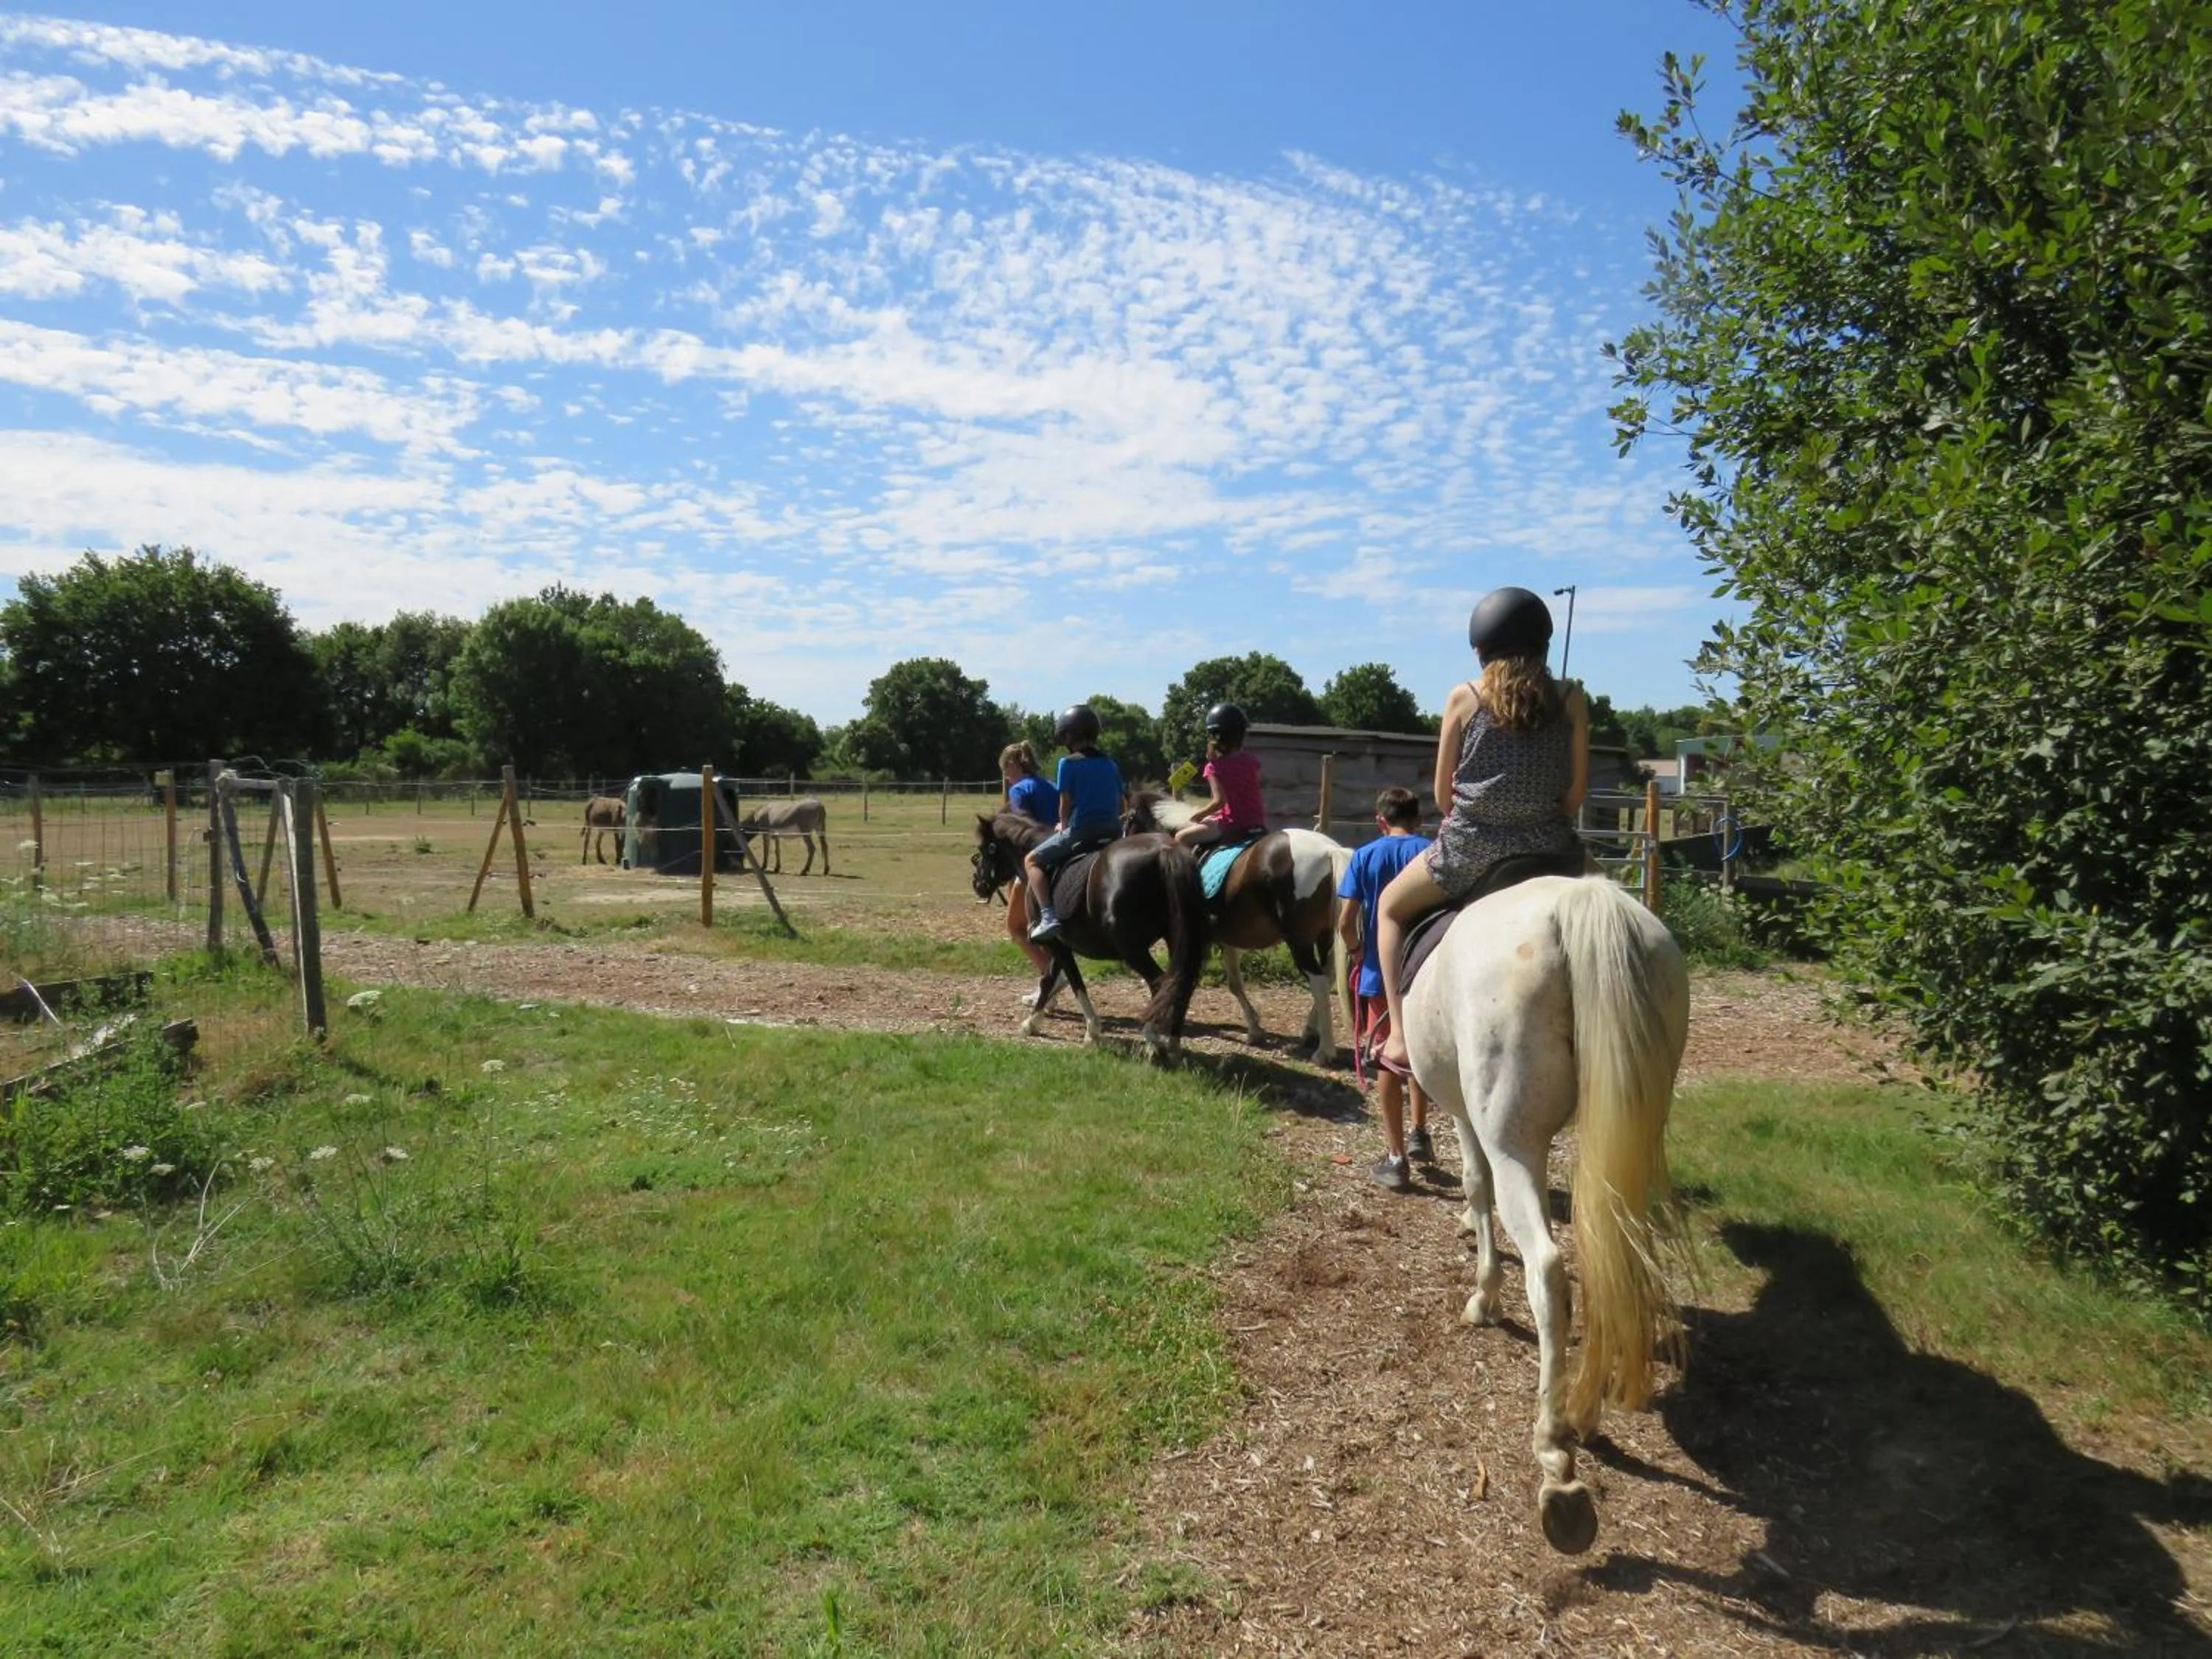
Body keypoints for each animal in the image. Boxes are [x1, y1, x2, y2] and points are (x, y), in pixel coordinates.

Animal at [969, 813, 1208, 1060]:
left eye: (985, 848)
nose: (977, 883)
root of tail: (1165, 851)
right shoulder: (1060, 943)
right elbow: (1049, 978)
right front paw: (1033, 1022)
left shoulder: (1056, 943)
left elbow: (1075, 982)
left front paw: (1092, 1031)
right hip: (1177, 940)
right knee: (1181, 985)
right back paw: (1173, 1042)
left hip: (1131, 948)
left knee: (1160, 984)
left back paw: (1154, 1040)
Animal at [1123, 791, 1351, 1062]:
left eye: (1129, 818)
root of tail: (1328, 850)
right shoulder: (1225, 941)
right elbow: (1234, 983)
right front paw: (1254, 1030)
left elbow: (1181, 980)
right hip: (1323, 936)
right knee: (1328, 976)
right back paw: (1309, 1034)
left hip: (1300, 941)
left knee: (1319, 982)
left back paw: (1324, 1051)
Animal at [1400, 872, 1689, 1556]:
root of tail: (1579, 900)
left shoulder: (1469, 1121)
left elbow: (1475, 1185)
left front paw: (1483, 1295)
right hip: (1633, 1130)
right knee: (1615, 1256)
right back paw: (1588, 1406)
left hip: (1514, 1141)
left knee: (1551, 1273)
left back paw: (1556, 1456)